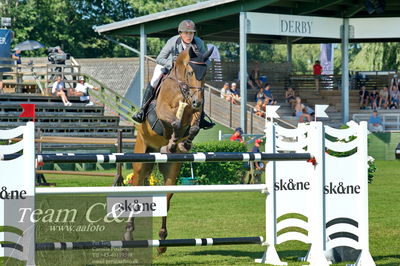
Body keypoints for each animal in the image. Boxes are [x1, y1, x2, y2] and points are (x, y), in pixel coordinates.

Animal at [126, 45, 214, 254]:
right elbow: (174, 122)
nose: (198, 101)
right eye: (190, 72)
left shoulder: (194, 114)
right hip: (141, 159)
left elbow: (193, 127)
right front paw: (173, 141)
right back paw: (129, 233)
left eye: (205, 73)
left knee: (166, 197)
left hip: (171, 169)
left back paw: (162, 241)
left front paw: (182, 143)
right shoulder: (162, 111)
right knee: (136, 189)